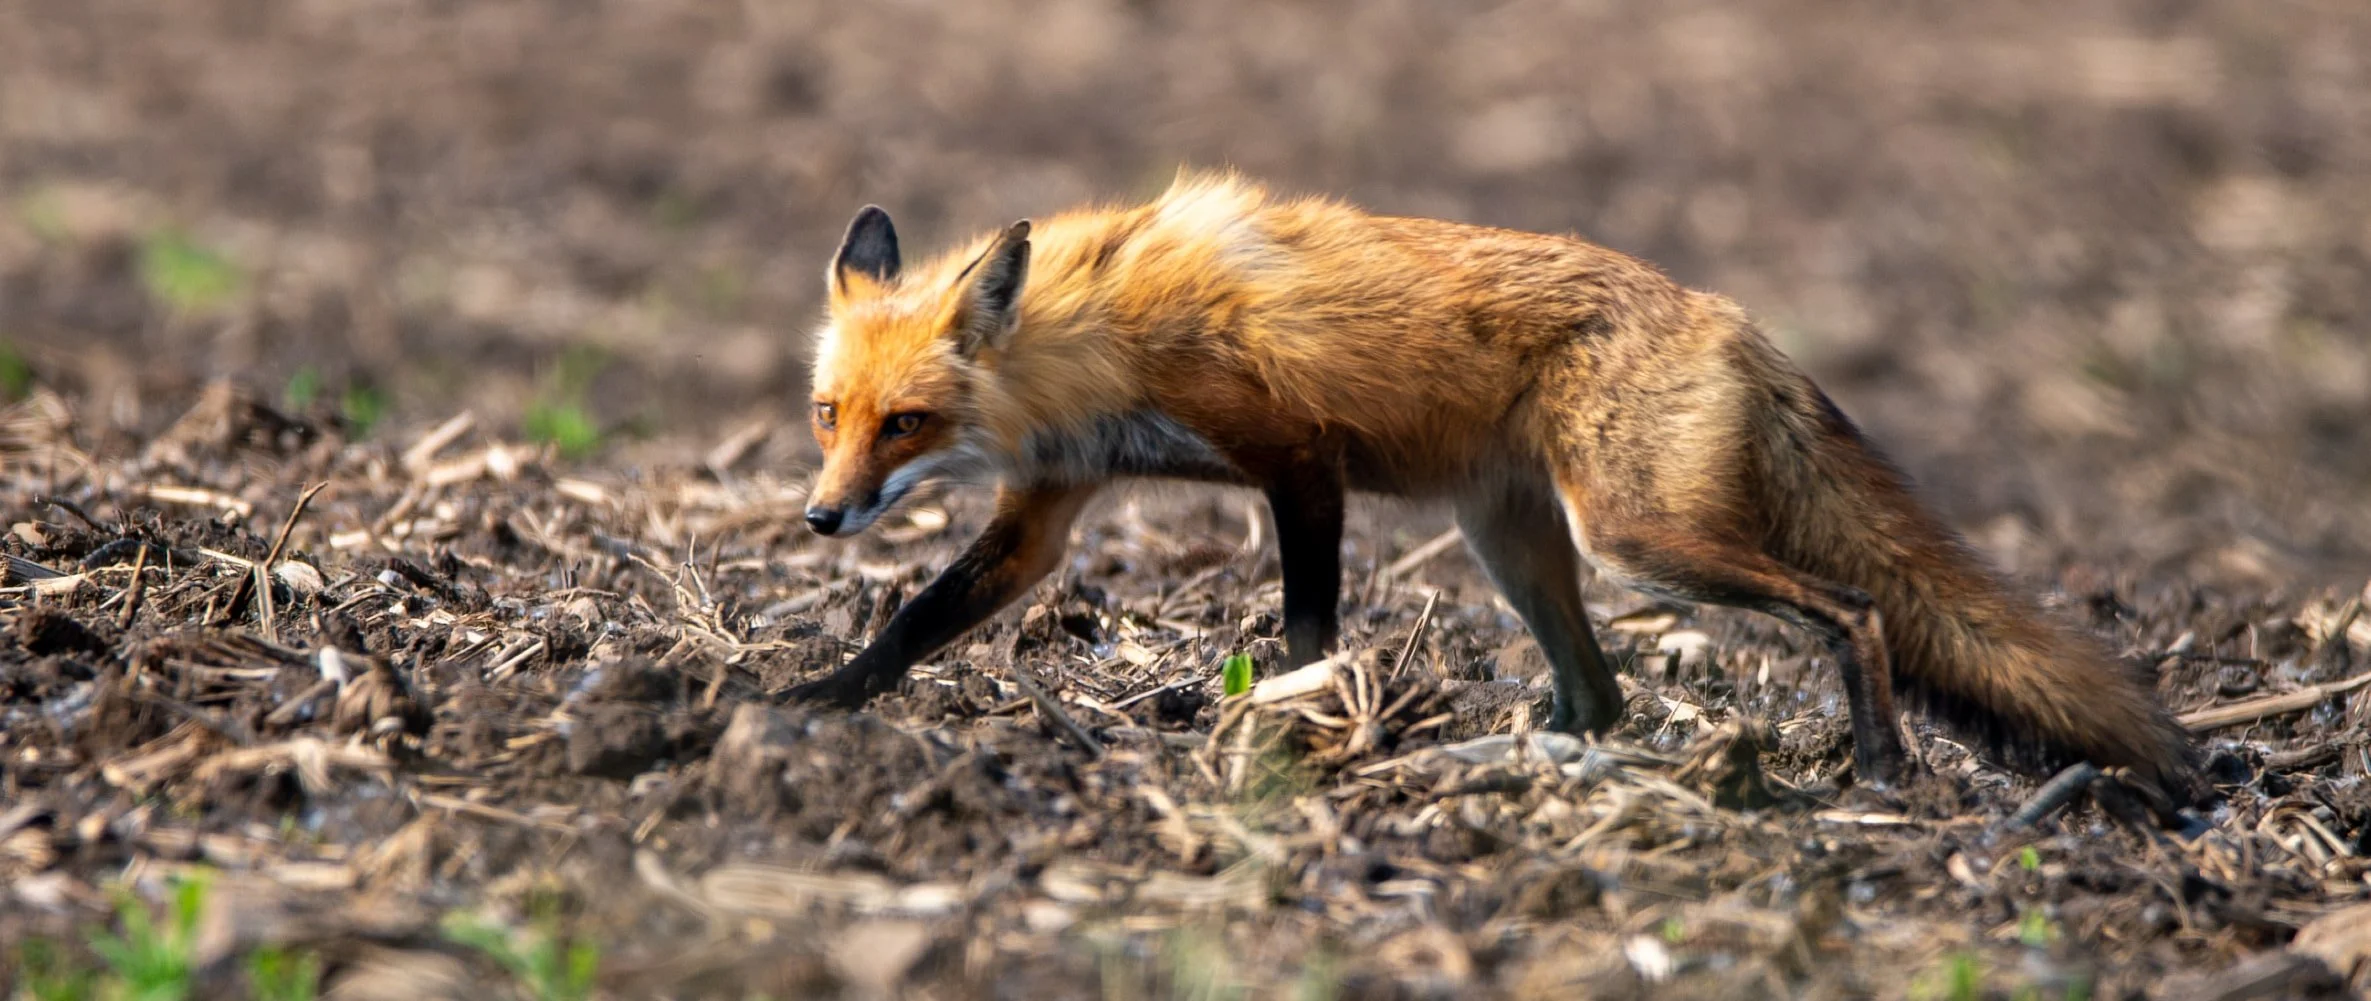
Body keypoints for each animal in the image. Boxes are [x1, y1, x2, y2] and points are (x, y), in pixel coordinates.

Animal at [785, 170, 2196, 796]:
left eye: (906, 423)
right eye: (828, 416)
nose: (819, 514)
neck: (1096, 336)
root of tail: (1738, 319)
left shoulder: (1298, 458)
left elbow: (1306, 626)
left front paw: (1290, 728)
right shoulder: (1047, 509)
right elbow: (915, 618)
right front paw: (811, 700)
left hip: (1632, 536)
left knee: (1849, 607)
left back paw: (1880, 768)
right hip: (1511, 544)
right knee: (1602, 697)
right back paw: (1508, 759)